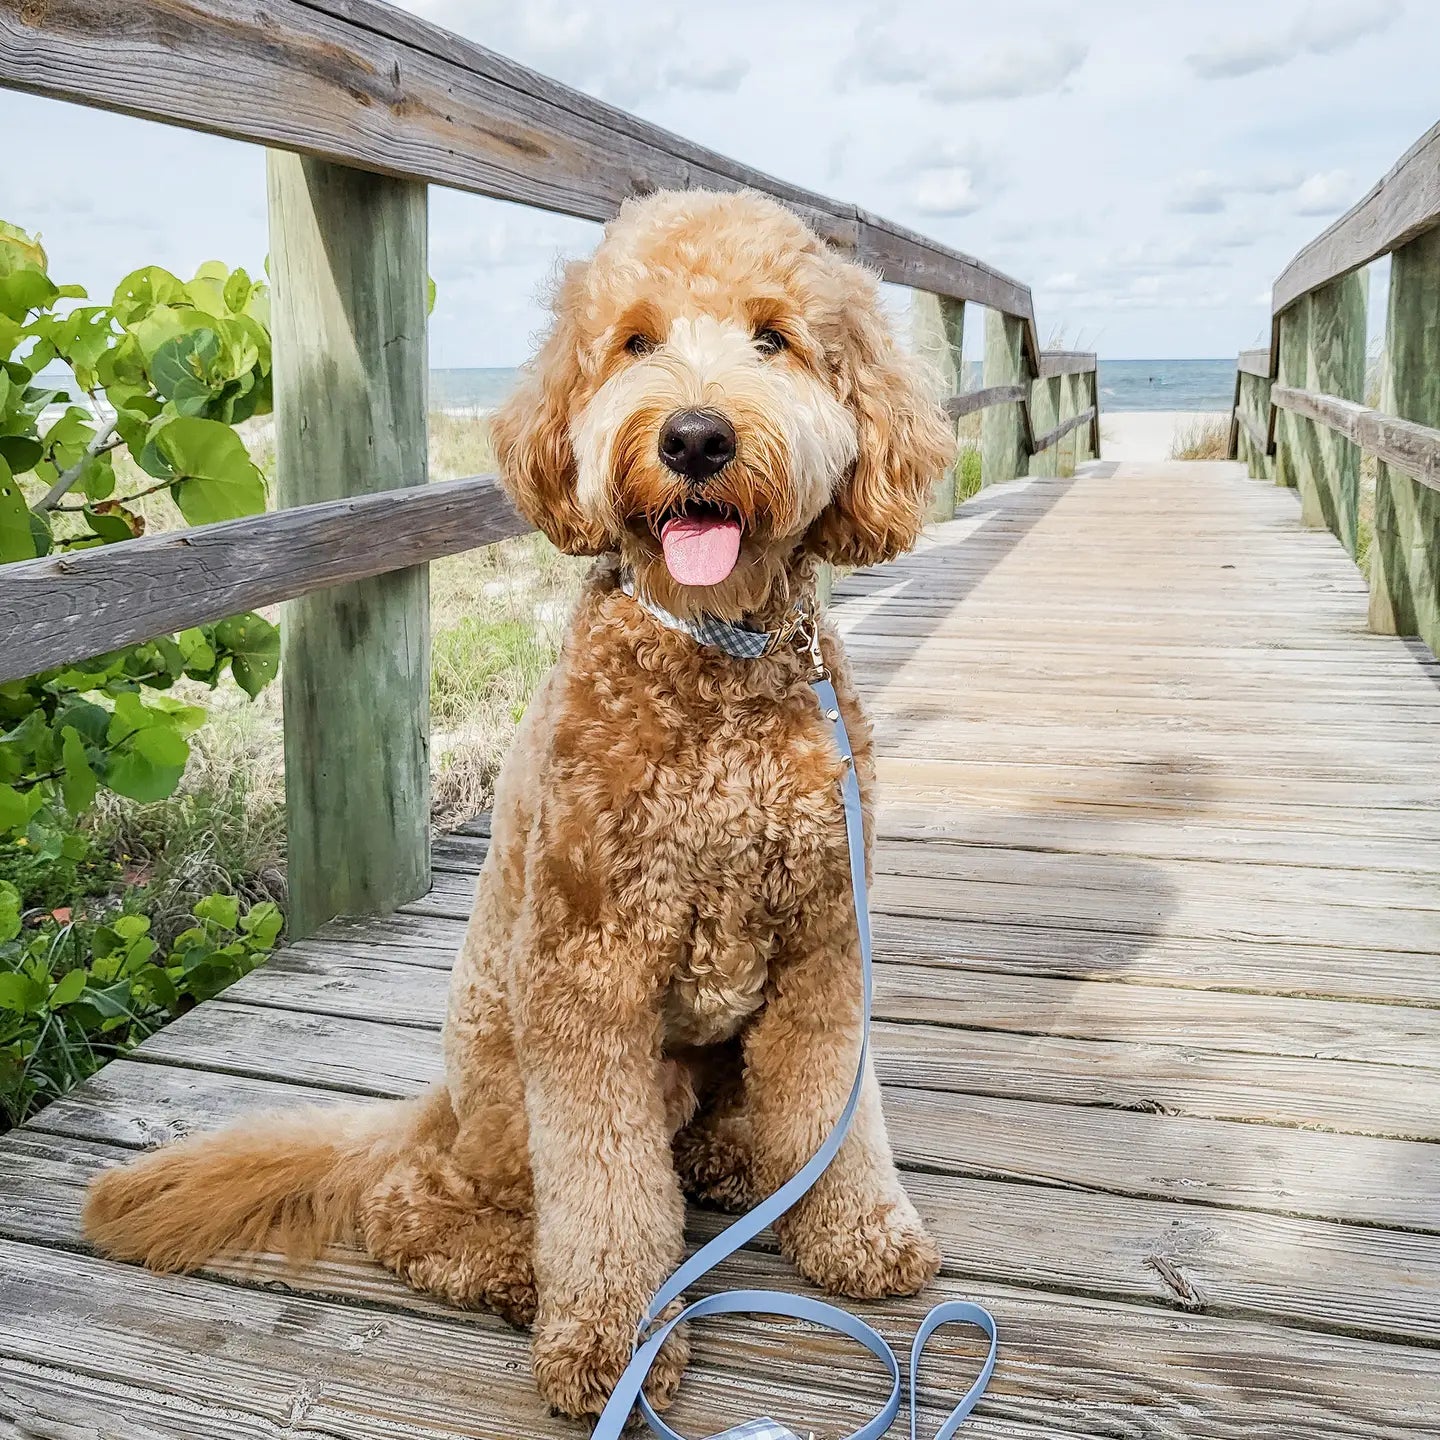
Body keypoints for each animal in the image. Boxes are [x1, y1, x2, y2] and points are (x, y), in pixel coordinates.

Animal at [81, 188, 956, 1416]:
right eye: (634, 342)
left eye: (773, 338)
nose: (694, 438)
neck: (714, 657)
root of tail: (439, 1107)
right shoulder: (587, 976)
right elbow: (602, 1190)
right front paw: (614, 1339)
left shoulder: (827, 942)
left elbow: (838, 1105)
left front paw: (861, 1234)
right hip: (507, 1084)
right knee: (415, 1203)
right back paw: (522, 1273)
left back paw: (732, 1161)